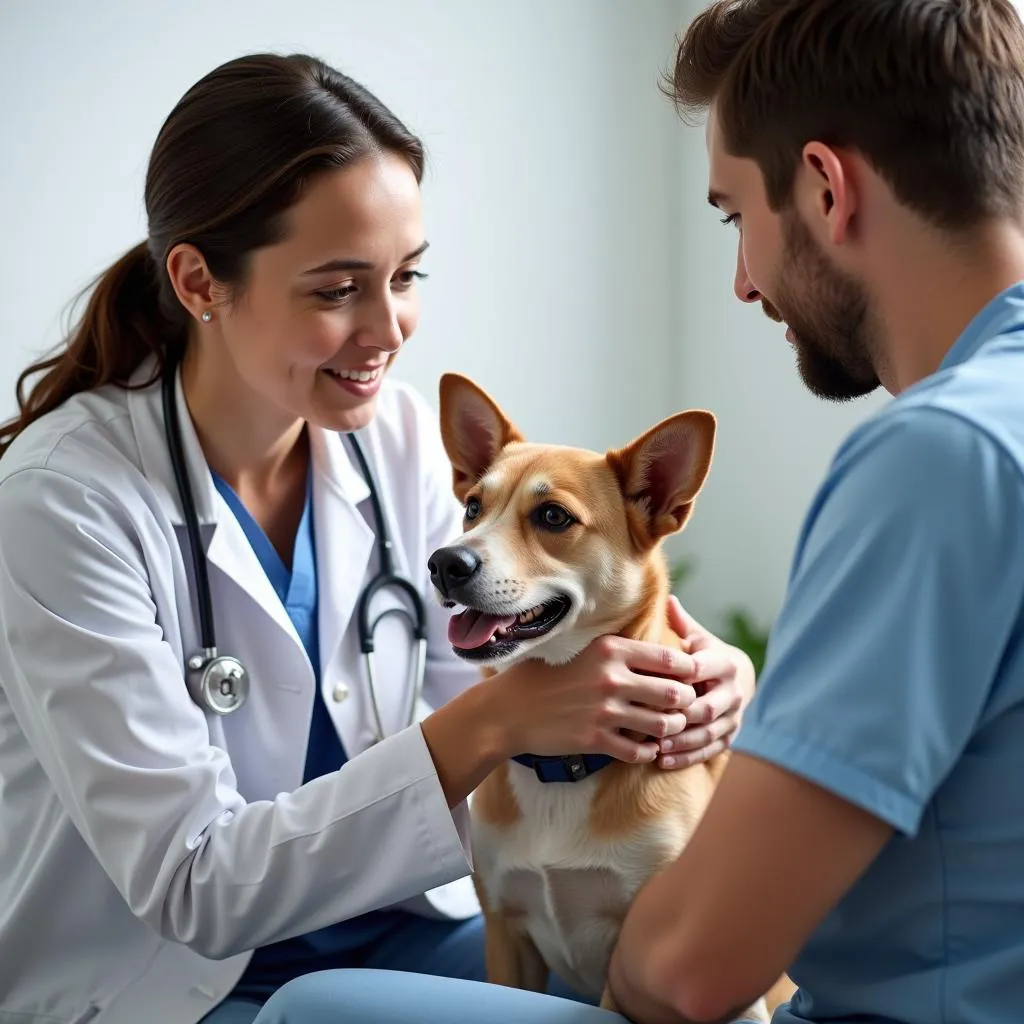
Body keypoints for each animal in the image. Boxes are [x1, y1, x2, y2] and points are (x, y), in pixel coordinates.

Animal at [425, 374, 790, 1015]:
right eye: (473, 508)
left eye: (553, 516)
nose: (445, 562)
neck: (562, 767)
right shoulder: (506, 937)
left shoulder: (639, 958)